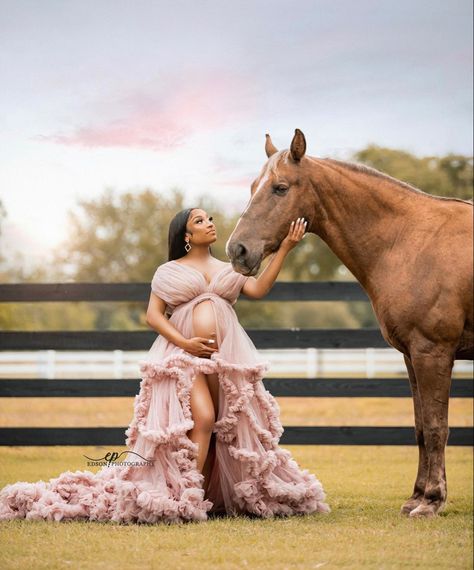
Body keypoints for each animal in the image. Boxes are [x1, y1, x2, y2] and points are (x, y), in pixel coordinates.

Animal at [227, 127, 474, 516]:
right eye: (253, 186)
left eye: (280, 187)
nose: (237, 250)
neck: (408, 241)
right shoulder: (412, 356)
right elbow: (421, 427)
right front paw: (417, 496)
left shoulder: (433, 352)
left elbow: (437, 427)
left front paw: (432, 500)